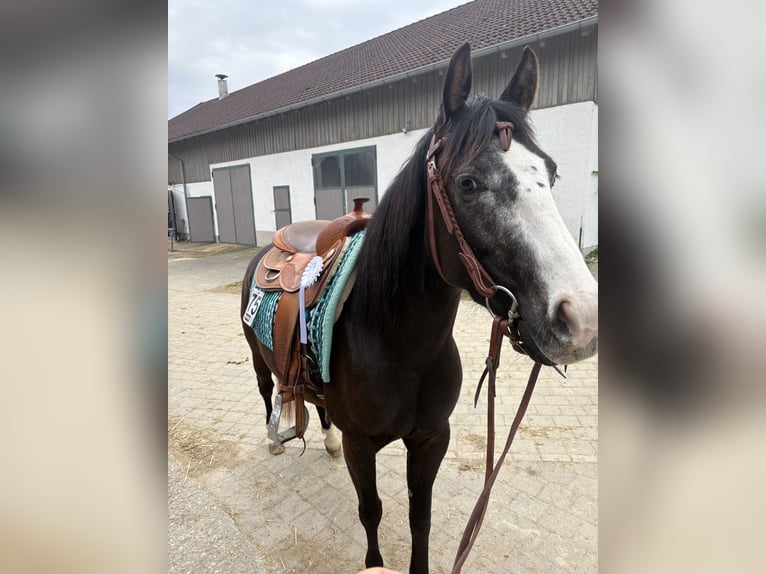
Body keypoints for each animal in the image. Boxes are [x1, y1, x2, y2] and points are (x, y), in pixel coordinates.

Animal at [240, 43, 598, 574]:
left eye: (551, 173)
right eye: (468, 182)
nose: (582, 320)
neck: (397, 345)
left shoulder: (431, 438)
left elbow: (419, 516)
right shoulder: (362, 445)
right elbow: (371, 511)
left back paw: (324, 440)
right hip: (257, 358)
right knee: (269, 392)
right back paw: (273, 438)